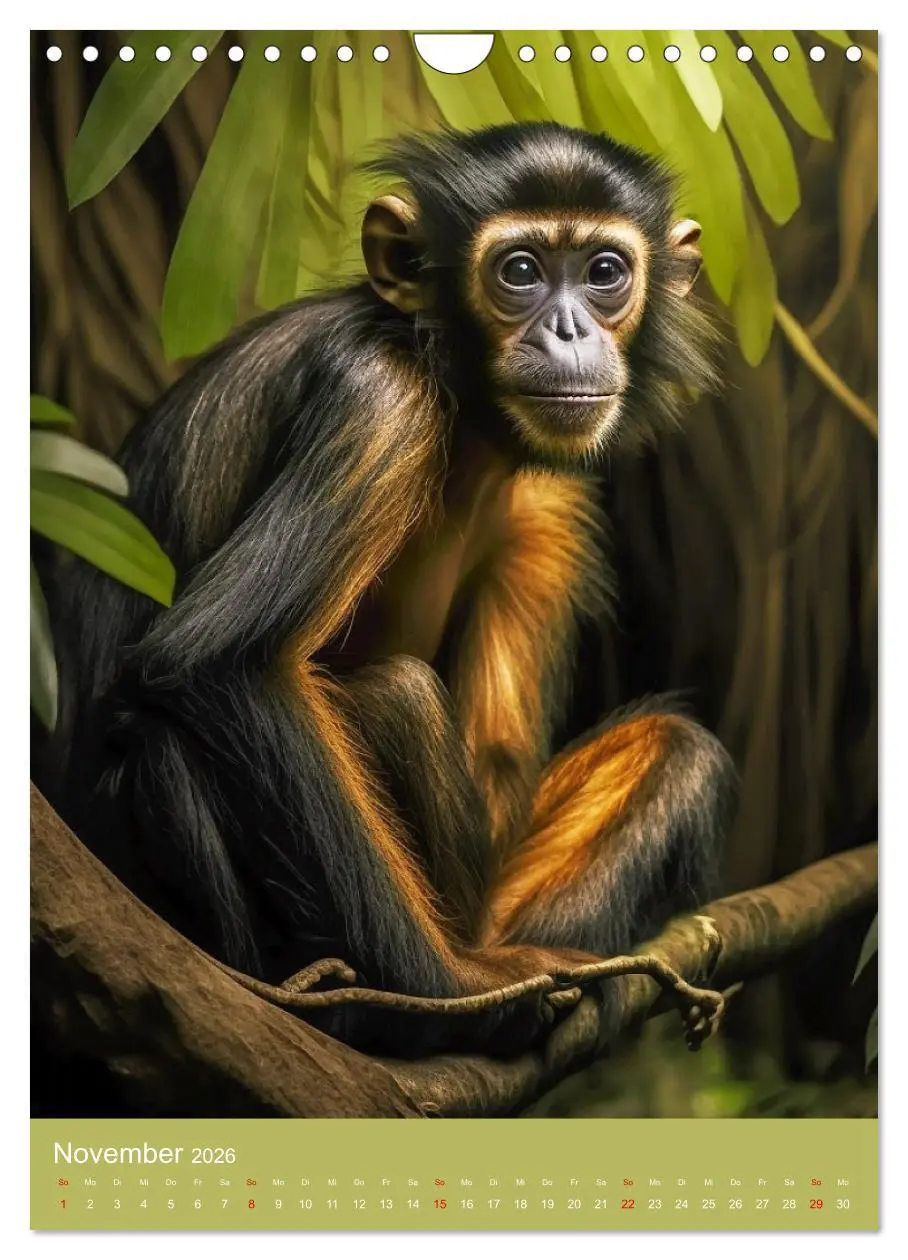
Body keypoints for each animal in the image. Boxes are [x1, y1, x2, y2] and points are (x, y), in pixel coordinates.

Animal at [44, 123, 736, 1055]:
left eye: (603, 271)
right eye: (519, 270)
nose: (568, 328)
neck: (455, 395)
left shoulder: (549, 501)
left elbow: (501, 767)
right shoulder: (379, 403)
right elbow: (225, 661)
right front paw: (453, 990)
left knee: (675, 752)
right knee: (209, 738)